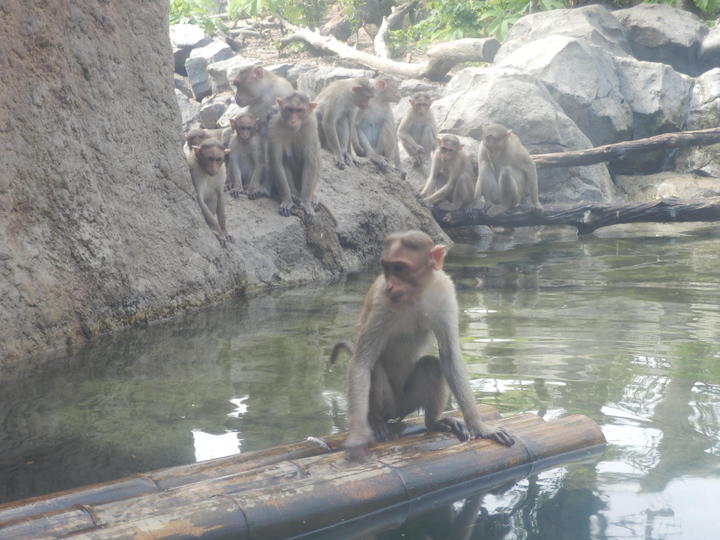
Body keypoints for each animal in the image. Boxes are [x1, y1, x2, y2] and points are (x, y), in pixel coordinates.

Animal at [268, 93, 320, 224]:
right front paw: (287, 200)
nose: (293, 121)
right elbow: (277, 163)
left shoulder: (311, 127)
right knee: (287, 159)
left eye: (299, 110)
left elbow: (310, 163)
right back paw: (294, 194)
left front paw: (306, 203)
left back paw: (311, 197)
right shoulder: (275, 127)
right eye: (290, 109)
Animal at [336, 230, 512, 462]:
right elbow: (362, 363)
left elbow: (449, 356)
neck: (415, 293)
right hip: (389, 403)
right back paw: (375, 419)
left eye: (399, 268)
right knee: (375, 366)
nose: (391, 285)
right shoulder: (383, 300)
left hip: (409, 401)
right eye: (387, 267)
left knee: (431, 365)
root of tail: (398, 411)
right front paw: (357, 438)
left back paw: (433, 422)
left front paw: (480, 427)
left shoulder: (445, 291)